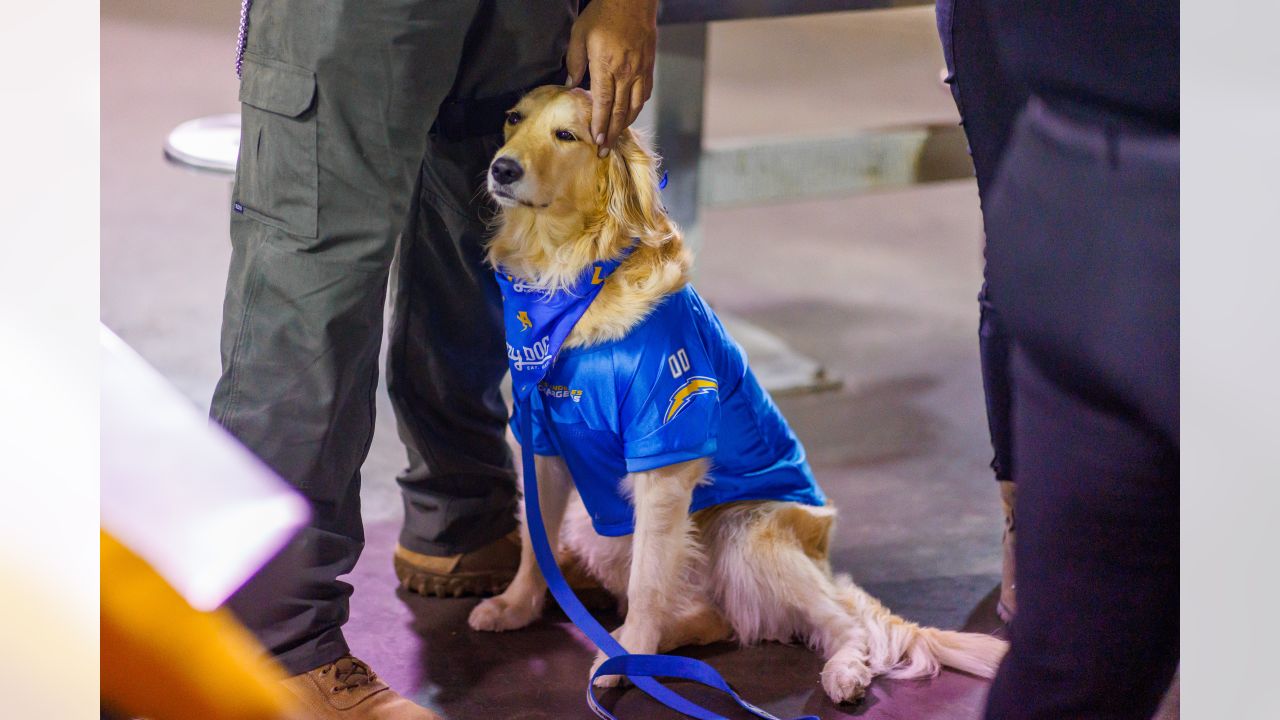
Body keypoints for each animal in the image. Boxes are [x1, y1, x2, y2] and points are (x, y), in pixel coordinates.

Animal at [471, 85, 1008, 702]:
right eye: (513, 119)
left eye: (566, 135)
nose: (502, 168)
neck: (570, 278)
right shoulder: (543, 442)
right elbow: (534, 545)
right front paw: (516, 607)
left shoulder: (664, 454)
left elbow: (649, 578)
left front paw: (629, 656)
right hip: (601, 524)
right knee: (708, 616)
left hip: (747, 534)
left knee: (841, 624)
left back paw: (837, 672)